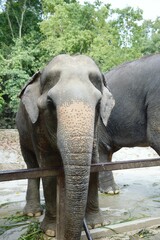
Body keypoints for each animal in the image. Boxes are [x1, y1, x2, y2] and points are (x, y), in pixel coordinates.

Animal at [15, 53, 114, 239]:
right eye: (50, 103)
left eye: (98, 104)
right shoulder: (36, 127)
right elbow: (48, 169)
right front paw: (51, 231)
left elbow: (94, 164)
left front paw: (96, 224)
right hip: (22, 134)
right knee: (31, 166)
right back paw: (32, 213)